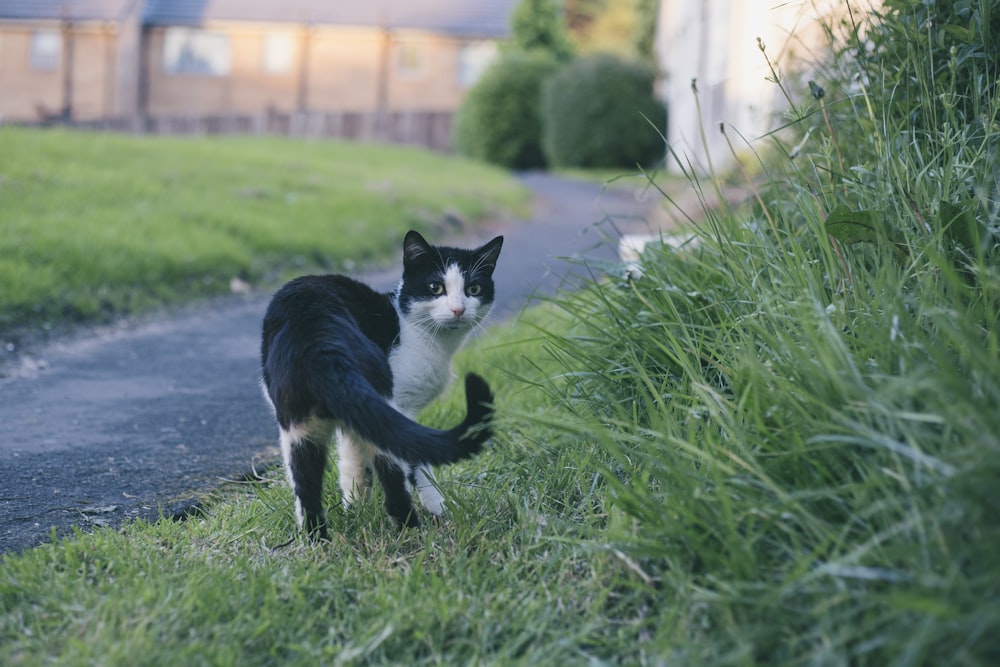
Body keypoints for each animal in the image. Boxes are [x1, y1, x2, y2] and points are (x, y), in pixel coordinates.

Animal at [262, 232, 504, 540]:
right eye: (435, 287)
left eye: (473, 288)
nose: (458, 309)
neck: (417, 332)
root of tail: (318, 338)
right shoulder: (401, 406)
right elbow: (417, 466)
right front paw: (439, 507)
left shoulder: (355, 419)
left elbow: (352, 462)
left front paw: (354, 507)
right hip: (382, 408)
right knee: (394, 473)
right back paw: (411, 529)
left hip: (298, 424)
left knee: (305, 484)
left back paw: (318, 539)